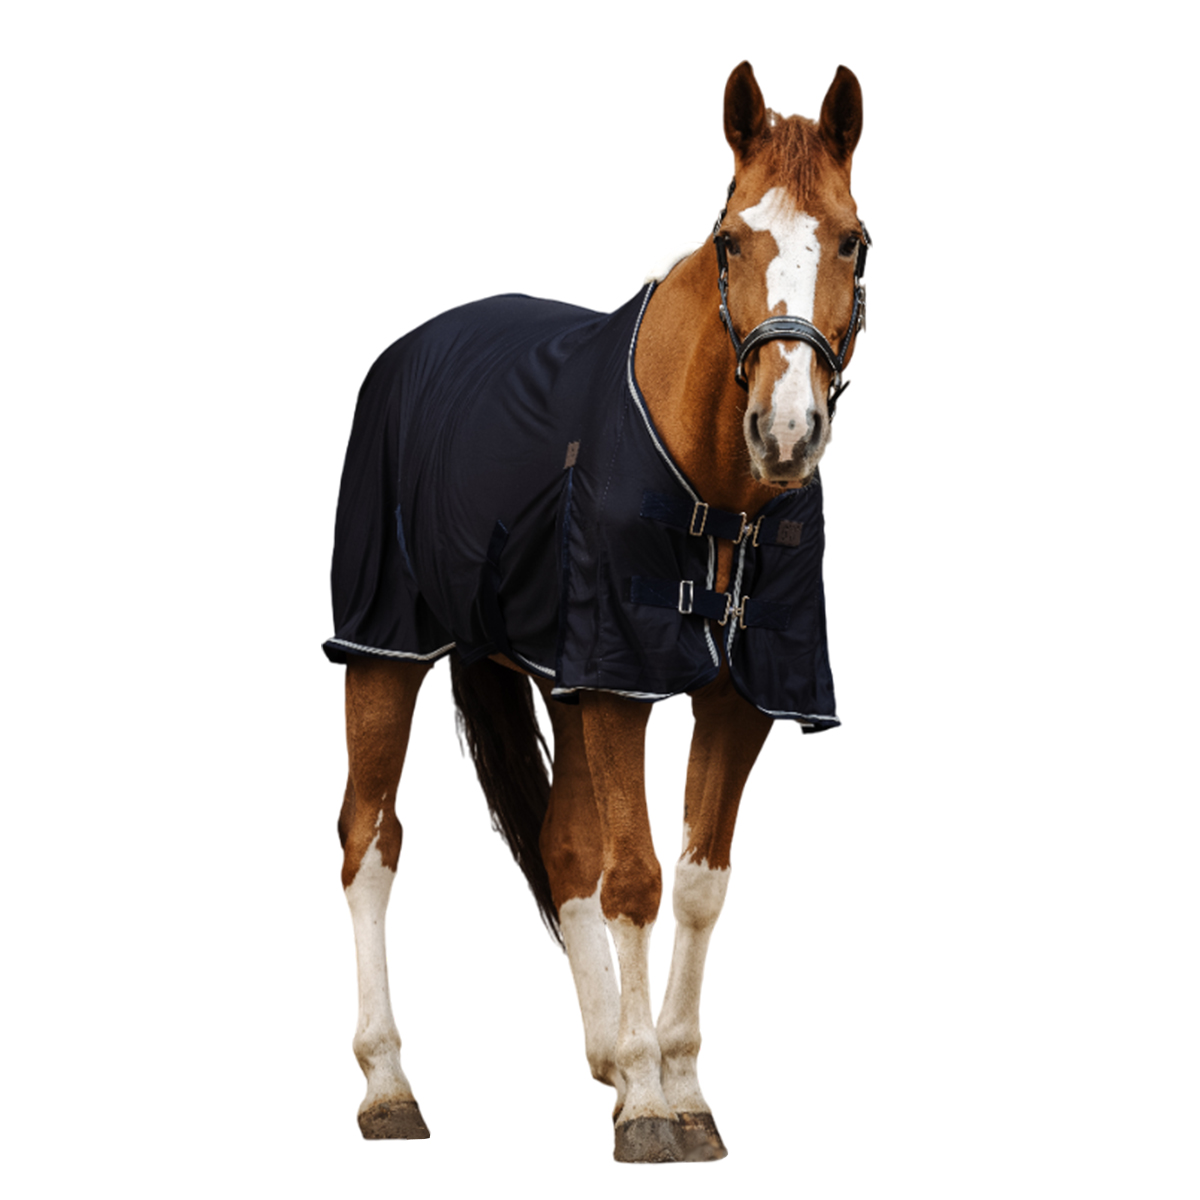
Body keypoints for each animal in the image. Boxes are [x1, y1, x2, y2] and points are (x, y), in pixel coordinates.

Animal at [325, 61, 869, 1163]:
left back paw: (610, 1060)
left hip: (555, 675)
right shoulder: (620, 683)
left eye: (851, 240)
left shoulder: (729, 696)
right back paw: (389, 1087)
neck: (718, 491)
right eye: (731, 239)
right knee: (371, 840)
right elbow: (638, 879)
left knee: (562, 847)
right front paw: (654, 1107)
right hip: (383, 647)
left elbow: (696, 884)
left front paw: (676, 1088)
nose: (787, 432)